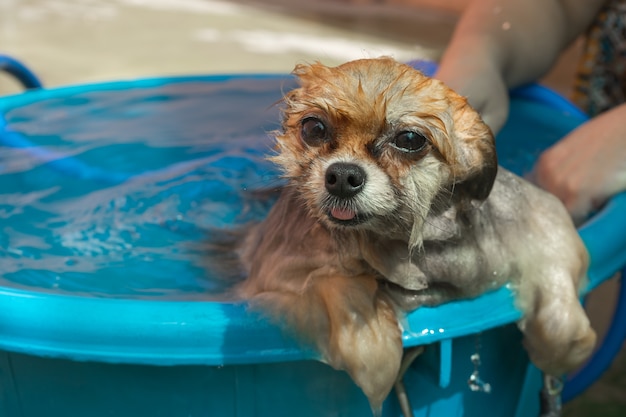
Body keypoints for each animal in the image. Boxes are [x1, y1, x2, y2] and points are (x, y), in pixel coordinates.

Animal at [232, 57, 592, 410]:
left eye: (409, 140)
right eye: (314, 128)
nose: (343, 176)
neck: (399, 243)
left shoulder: (534, 221)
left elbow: (556, 272)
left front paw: (561, 342)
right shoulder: (275, 276)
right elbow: (333, 284)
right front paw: (370, 344)